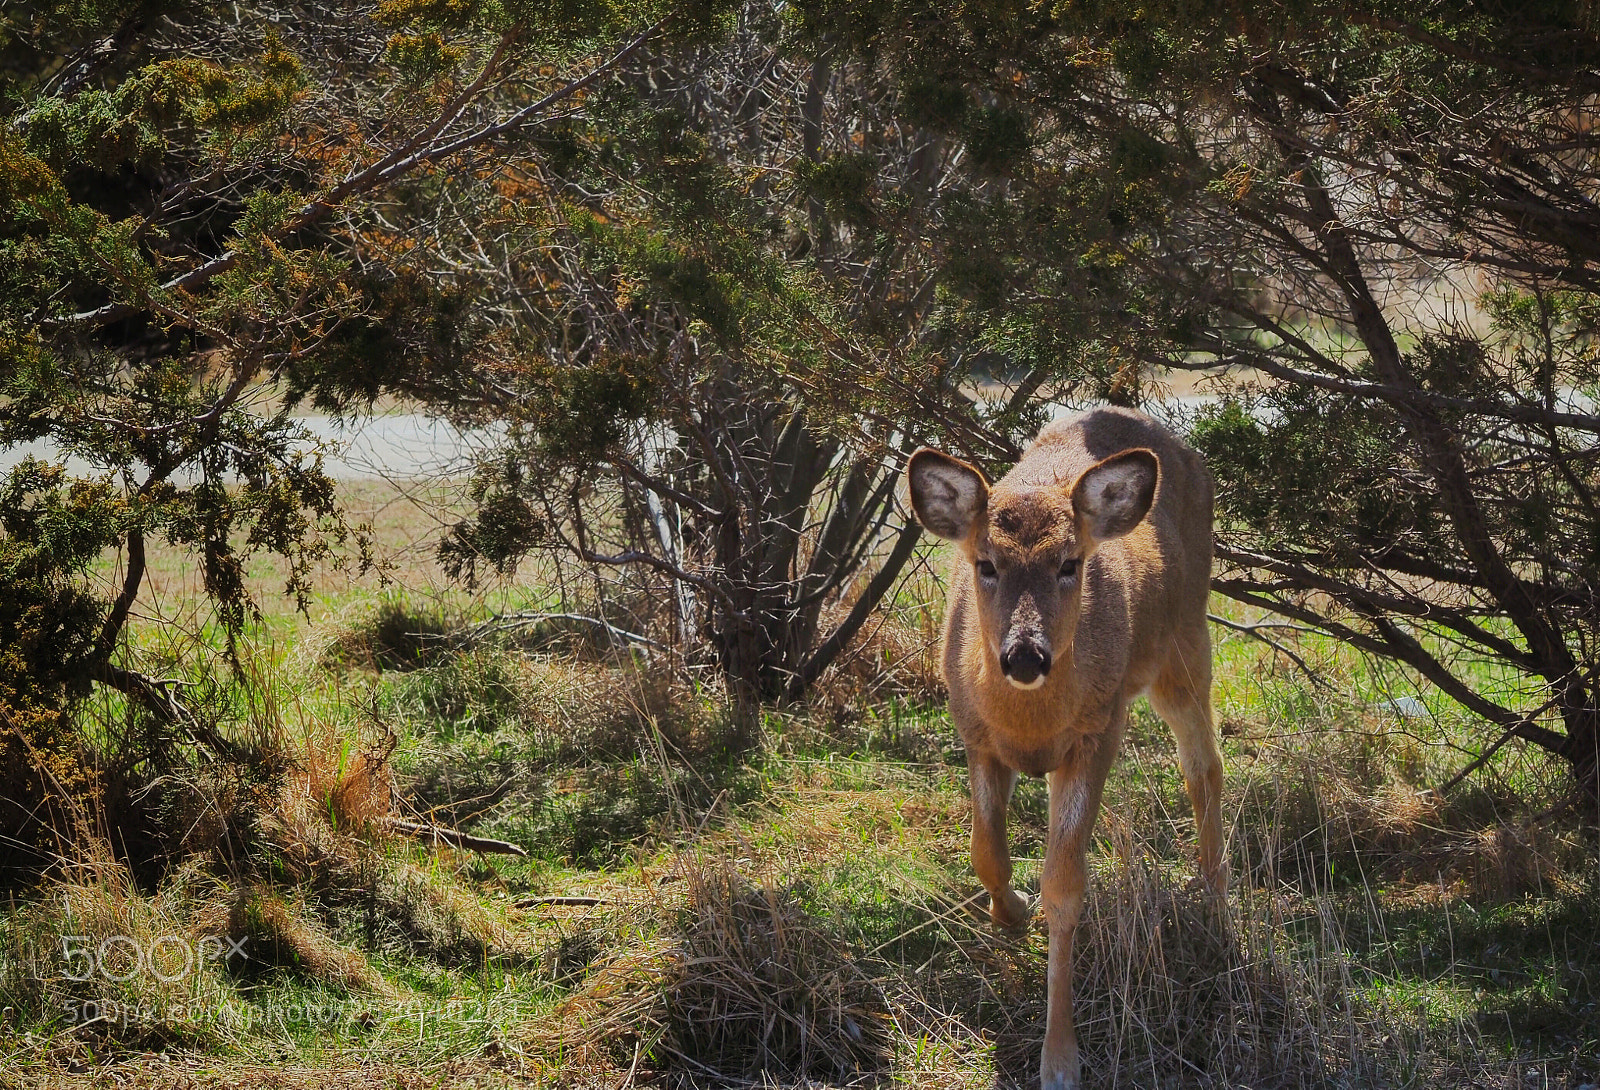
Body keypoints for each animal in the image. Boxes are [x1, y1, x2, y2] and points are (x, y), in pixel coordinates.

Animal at [905, 406, 1227, 1090]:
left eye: (1069, 563)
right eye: (986, 563)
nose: (1026, 656)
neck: (1029, 724)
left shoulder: (1097, 731)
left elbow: (1065, 886)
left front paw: (1060, 1058)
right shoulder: (973, 734)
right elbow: (987, 854)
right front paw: (1010, 910)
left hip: (1185, 639)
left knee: (1204, 764)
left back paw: (1214, 889)